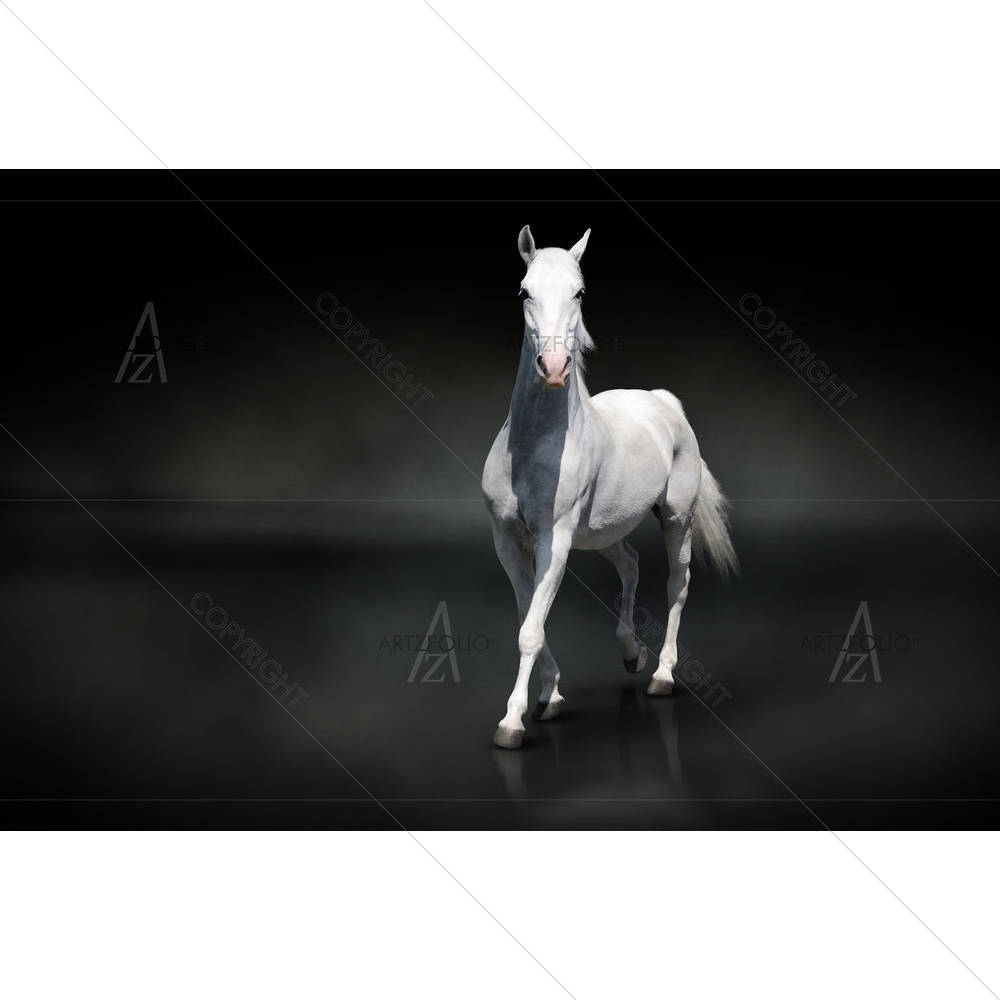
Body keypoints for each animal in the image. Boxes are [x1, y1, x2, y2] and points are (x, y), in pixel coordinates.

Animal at [481, 225, 738, 750]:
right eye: (523, 291)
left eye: (579, 293)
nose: (554, 366)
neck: (532, 447)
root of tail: (663, 402)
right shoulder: (508, 540)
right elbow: (530, 617)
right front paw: (551, 698)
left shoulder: (554, 540)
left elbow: (530, 630)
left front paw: (512, 722)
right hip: (600, 534)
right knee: (631, 564)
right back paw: (631, 653)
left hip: (676, 519)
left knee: (677, 583)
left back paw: (661, 674)